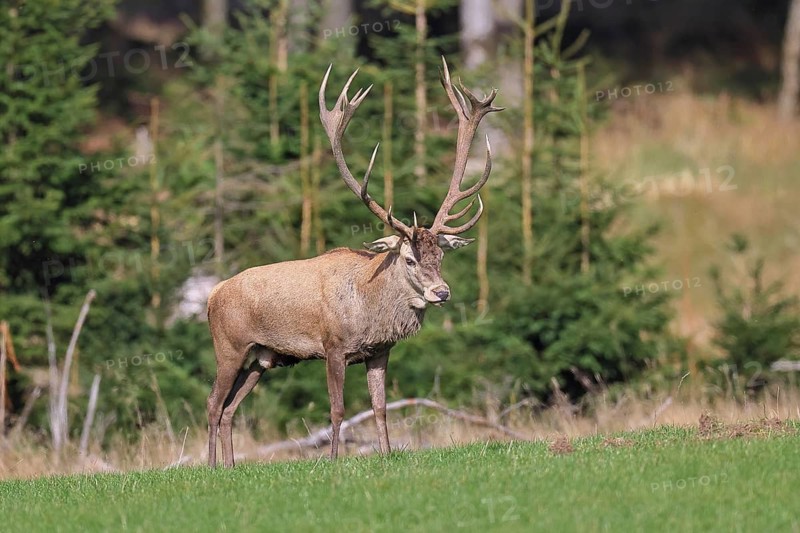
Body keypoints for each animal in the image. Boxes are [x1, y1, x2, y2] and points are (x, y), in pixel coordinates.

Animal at [206, 57, 503, 467]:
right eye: (409, 259)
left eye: (441, 255)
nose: (441, 292)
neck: (368, 304)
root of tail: (212, 295)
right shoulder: (332, 346)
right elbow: (337, 409)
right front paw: (332, 460)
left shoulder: (379, 352)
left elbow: (380, 407)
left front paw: (387, 453)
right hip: (229, 346)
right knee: (213, 403)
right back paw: (210, 466)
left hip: (262, 357)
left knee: (231, 407)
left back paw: (232, 465)